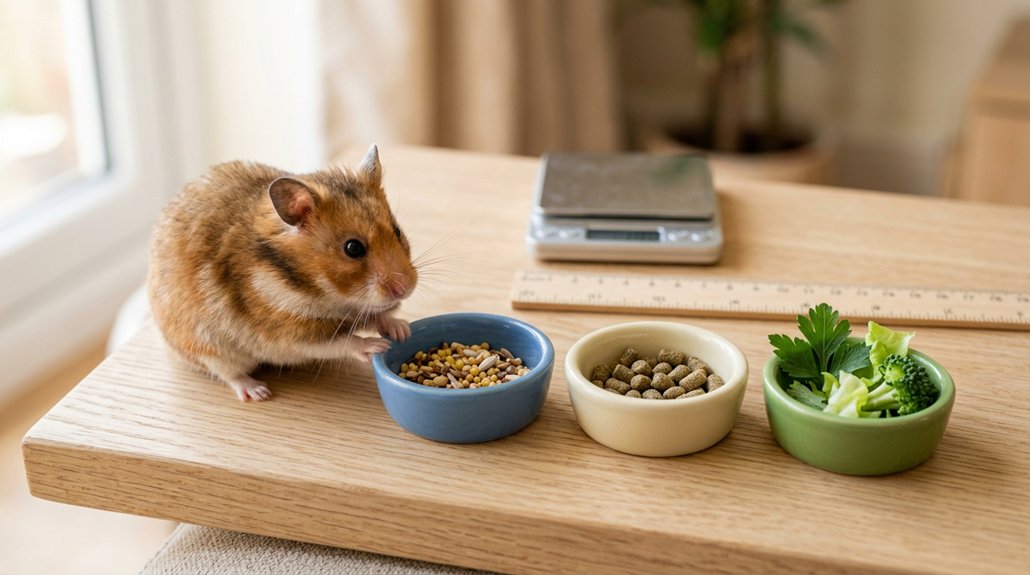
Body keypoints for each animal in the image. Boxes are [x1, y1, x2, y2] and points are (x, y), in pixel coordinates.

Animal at [147, 145, 417, 401]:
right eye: (353, 248)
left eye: (397, 231)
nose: (404, 289)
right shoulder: (290, 331)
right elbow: (341, 340)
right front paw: (377, 345)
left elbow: (373, 317)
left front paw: (401, 330)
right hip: (208, 348)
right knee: (229, 374)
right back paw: (258, 392)